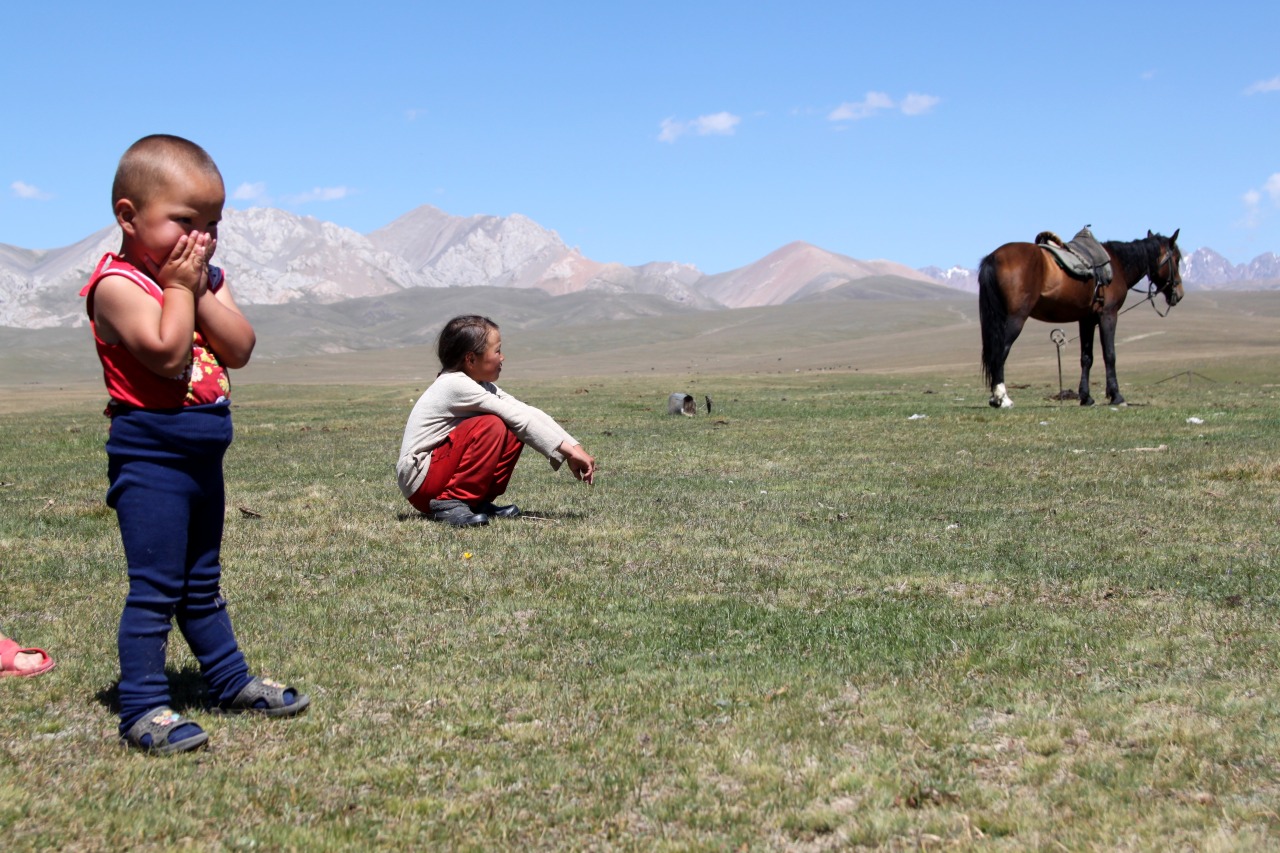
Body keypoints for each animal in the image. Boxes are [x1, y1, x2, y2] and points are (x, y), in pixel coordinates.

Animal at [977, 229, 1187, 404]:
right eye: (1176, 259)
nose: (1179, 293)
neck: (1117, 265)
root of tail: (993, 257)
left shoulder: (1086, 320)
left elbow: (1087, 358)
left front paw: (1086, 397)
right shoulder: (1108, 315)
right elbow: (1110, 354)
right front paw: (1116, 396)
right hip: (1015, 318)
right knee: (1001, 351)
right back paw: (1002, 398)